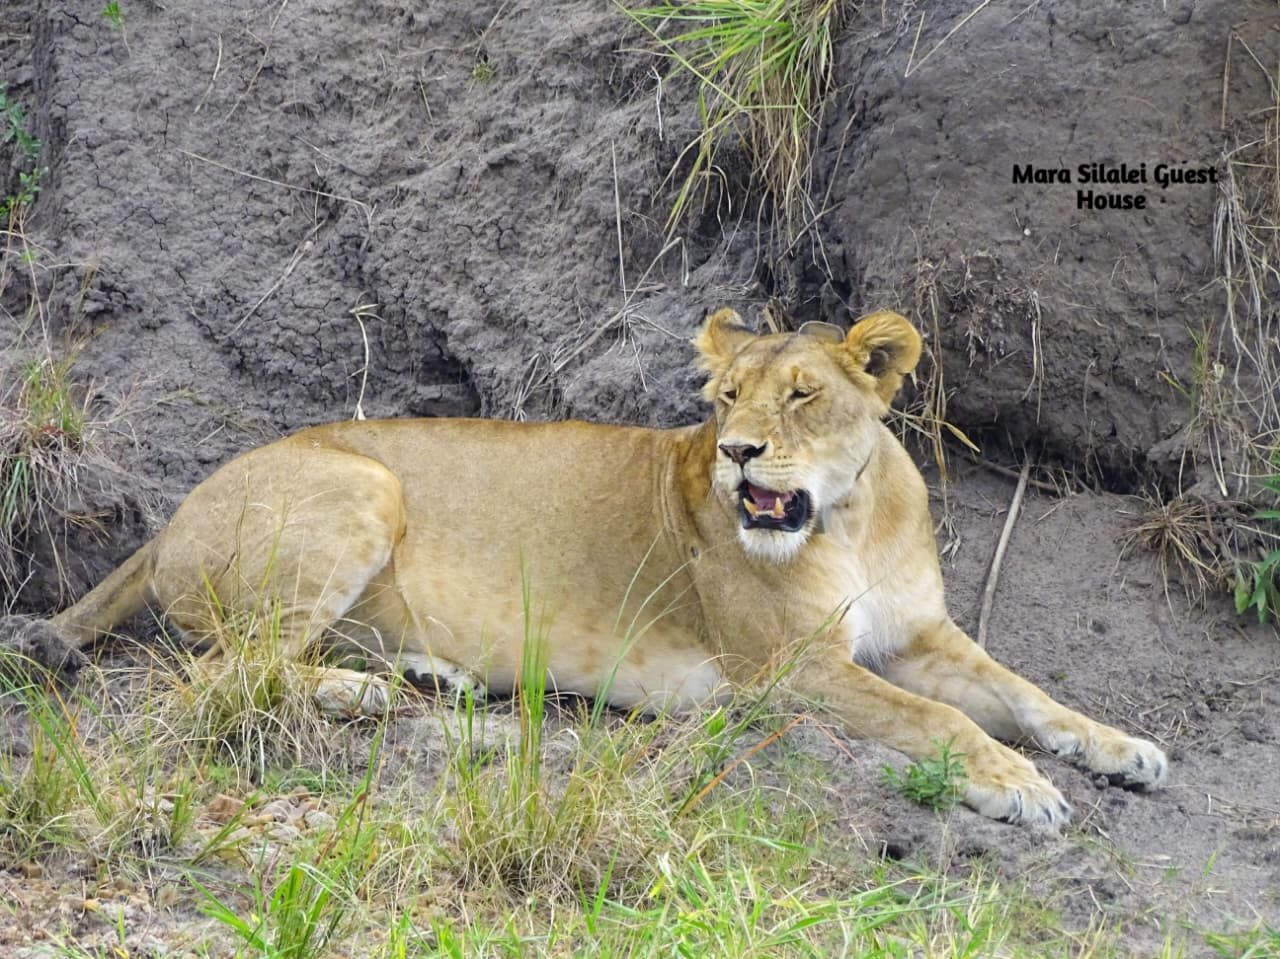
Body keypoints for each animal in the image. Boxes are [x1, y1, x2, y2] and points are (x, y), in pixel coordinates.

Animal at [12, 307, 1167, 825]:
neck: (844, 517)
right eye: (724, 399)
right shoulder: (786, 669)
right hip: (362, 485)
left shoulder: (918, 633)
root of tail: (170, 514)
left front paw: (1123, 750)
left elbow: (1025, 692)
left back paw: (425, 677)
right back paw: (381, 697)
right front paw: (1020, 786)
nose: (739, 452)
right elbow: (941, 721)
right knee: (218, 676)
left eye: (800, 395)